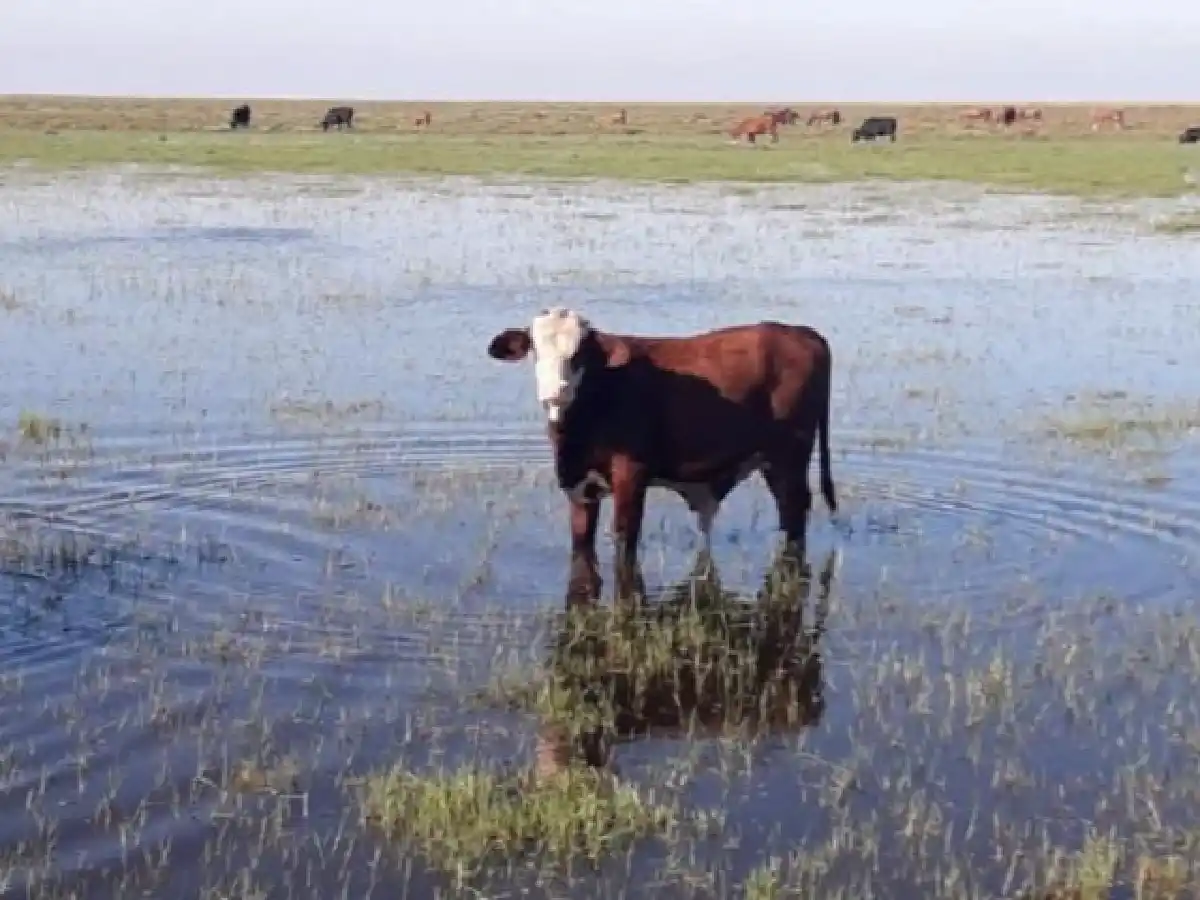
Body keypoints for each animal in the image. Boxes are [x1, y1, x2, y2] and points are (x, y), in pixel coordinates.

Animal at [485, 308, 838, 605]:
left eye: (580, 352)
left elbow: (625, 540)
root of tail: (798, 331)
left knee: (794, 511)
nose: (556, 391)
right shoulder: (580, 486)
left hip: (787, 458)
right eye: (535, 349)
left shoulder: (631, 474)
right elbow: (582, 545)